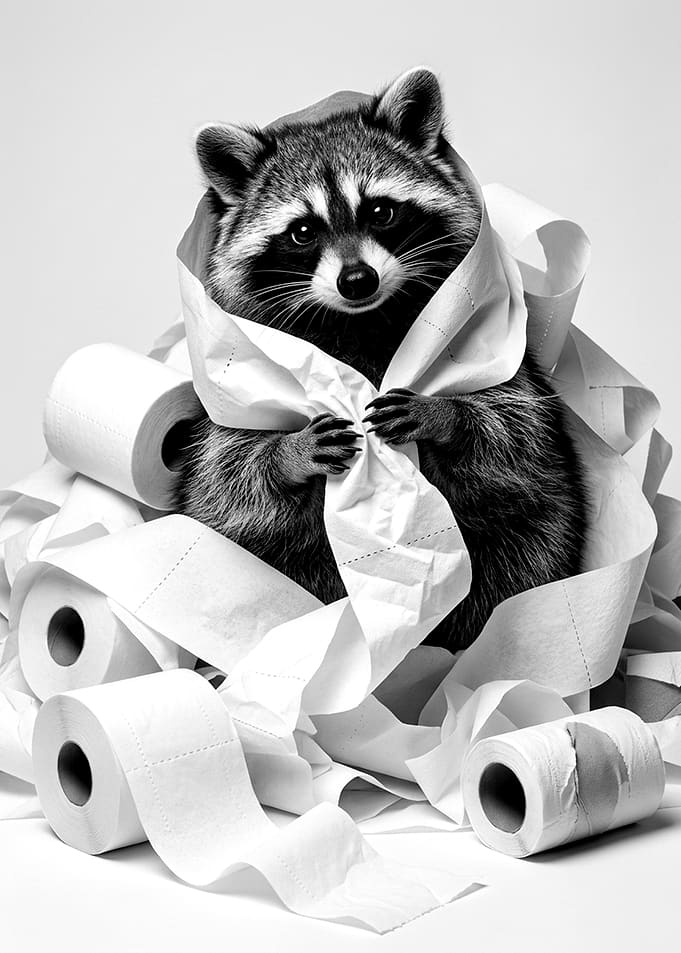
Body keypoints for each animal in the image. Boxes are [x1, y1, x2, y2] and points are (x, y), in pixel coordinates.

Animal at [175, 68, 588, 651]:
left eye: (380, 211)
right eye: (303, 231)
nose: (357, 280)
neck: (361, 321)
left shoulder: (506, 364)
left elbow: (513, 430)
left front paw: (447, 415)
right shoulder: (236, 399)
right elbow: (231, 478)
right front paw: (287, 453)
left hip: (538, 532)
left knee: (530, 548)